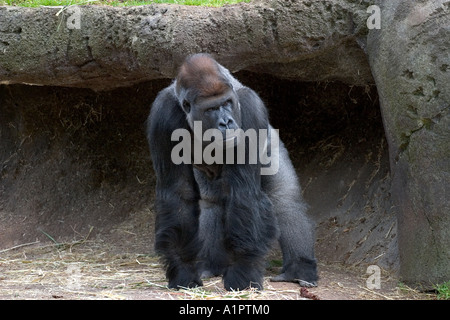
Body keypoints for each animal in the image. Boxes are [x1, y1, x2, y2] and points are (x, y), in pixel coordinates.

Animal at [147, 53, 316, 290]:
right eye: (210, 109)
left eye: (227, 103)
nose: (226, 122)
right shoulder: (162, 116)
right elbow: (178, 194)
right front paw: (183, 271)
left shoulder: (250, 107)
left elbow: (244, 193)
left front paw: (242, 273)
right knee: (211, 202)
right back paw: (211, 266)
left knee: (284, 201)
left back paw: (299, 269)